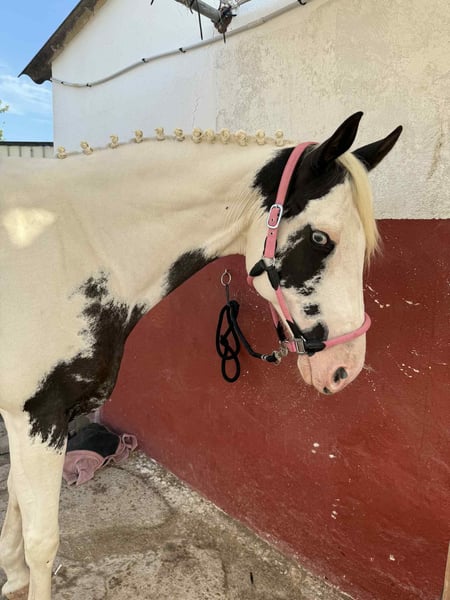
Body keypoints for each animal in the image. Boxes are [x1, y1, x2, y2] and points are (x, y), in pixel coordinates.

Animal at [0, 112, 401, 599]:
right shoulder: (38, 417)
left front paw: (12, 576)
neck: (70, 245)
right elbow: (42, 540)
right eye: (321, 238)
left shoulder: (27, 420)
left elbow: (14, 500)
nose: (345, 368)